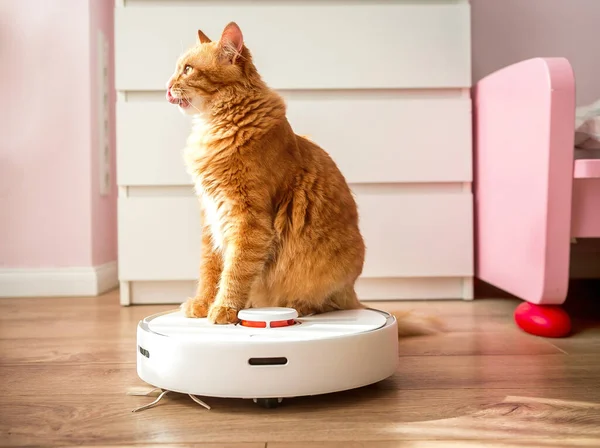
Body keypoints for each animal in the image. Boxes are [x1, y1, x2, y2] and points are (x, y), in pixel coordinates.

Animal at [169, 22, 366, 324]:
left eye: (188, 69)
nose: (167, 86)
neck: (217, 125)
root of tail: (353, 291)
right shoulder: (211, 217)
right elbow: (210, 269)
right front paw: (203, 304)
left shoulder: (249, 219)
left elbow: (235, 271)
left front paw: (224, 308)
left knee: (328, 305)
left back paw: (299, 306)